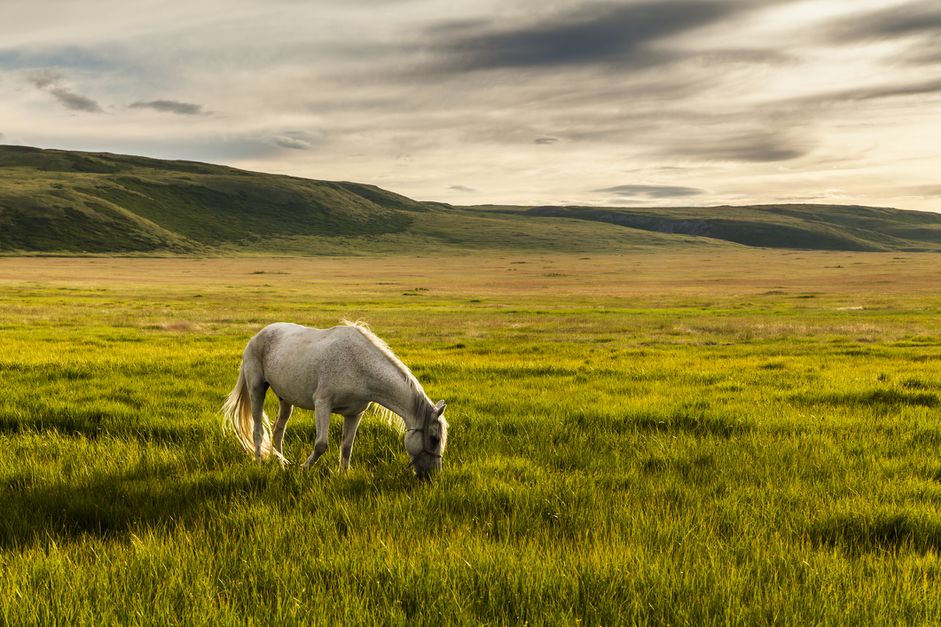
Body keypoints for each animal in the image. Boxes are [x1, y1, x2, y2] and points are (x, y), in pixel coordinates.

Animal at [222, 322, 446, 478]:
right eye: (434, 438)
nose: (432, 476)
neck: (360, 366)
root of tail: (257, 335)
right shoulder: (323, 404)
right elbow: (321, 444)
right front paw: (304, 469)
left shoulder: (355, 413)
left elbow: (346, 447)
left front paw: (343, 475)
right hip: (257, 389)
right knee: (258, 430)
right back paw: (260, 462)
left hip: (285, 399)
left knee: (278, 430)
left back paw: (282, 463)